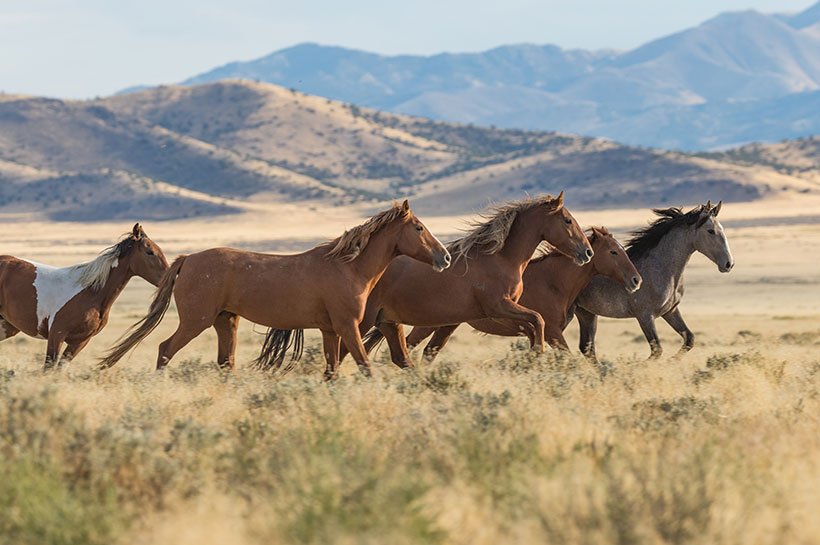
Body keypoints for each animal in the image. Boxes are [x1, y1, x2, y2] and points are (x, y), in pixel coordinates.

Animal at [0, 222, 168, 370]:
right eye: (150, 252)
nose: (168, 276)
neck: (91, 293)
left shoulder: (80, 341)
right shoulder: (56, 335)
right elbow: (49, 368)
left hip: (7, 326)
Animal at [99, 201, 452, 378]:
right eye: (419, 227)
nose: (445, 257)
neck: (348, 267)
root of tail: (187, 260)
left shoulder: (330, 330)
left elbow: (332, 371)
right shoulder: (348, 327)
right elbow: (365, 367)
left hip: (226, 321)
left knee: (226, 363)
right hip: (195, 321)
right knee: (165, 350)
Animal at [340, 191, 596, 370]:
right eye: (567, 220)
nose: (587, 252)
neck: (500, 258)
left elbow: (535, 325)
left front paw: (534, 356)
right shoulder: (498, 307)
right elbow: (538, 320)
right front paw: (538, 354)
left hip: (388, 320)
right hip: (365, 320)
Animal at [406, 224, 644, 354]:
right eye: (613, 252)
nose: (636, 280)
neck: (553, 282)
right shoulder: (552, 333)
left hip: (447, 325)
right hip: (428, 323)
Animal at [572, 202, 732, 360]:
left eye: (722, 229)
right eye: (710, 231)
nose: (729, 264)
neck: (660, 270)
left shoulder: (670, 311)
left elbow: (689, 339)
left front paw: (672, 360)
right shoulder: (645, 316)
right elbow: (657, 350)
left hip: (587, 313)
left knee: (587, 348)